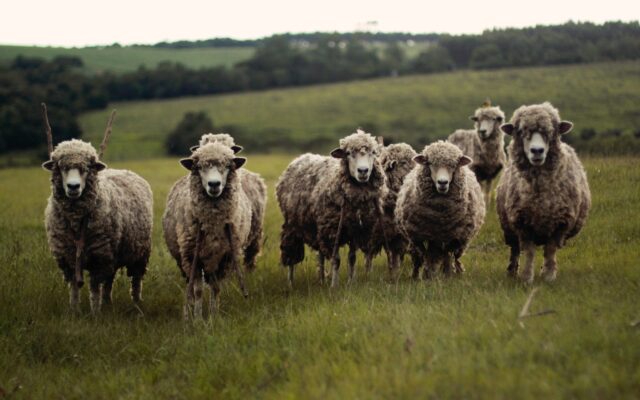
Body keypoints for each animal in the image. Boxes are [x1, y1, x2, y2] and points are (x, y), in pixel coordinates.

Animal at [42, 109, 153, 313]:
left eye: (86, 169)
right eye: (61, 168)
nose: (73, 187)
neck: (77, 219)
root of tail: (124, 170)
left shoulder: (99, 258)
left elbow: (94, 289)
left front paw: (95, 313)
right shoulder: (68, 259)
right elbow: (74, 288)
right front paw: (74, 311)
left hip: (139, 252)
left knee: (135, 280)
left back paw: (136, 303)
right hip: (113, 254)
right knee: (109, 280)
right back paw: (108, 302)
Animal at [162, 142, 266, 318]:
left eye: (227, 166)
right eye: (199, 167)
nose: (214, 184)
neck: (213, 223)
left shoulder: (225, 257)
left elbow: (216, 289)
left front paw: (213, 317)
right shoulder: (193, 257)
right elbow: (197, 291)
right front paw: (197, 318)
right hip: (184, 258)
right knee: (189, 285)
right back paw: (189, 307)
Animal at [276, 129, 385, 288]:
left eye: (373, 152)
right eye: (348, 153)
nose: (363, 171)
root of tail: (300, 158)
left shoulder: (355, 230)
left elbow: (352, 258)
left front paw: (351, 282)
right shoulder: (332, 232)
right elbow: (336, 260)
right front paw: (334, 285)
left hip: (317, 226)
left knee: (320, 255)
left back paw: (321, 279)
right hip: (293, 225)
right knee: (291, 254)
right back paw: (290, 283)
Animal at [395, 141, 485, 279]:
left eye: (454, 165)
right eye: (430, 163)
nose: (442, 182)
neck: (441, 216)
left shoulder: (453, 235)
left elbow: (447, 255)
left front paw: (447, 275)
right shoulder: (424, 236)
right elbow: (428, 256)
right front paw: (428, 276)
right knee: (420, 257)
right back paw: (416, 275)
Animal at [496, 102, 591, 284]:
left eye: (551, 131)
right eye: (521, 131)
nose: (537, 151)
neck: (540, 196)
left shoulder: (560, 223)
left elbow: (550, 250)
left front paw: (548, 276)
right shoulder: (522, 222)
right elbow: (529, 252)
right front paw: (526, 277)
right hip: (509, 229)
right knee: (515, 250)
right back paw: (512, 272)